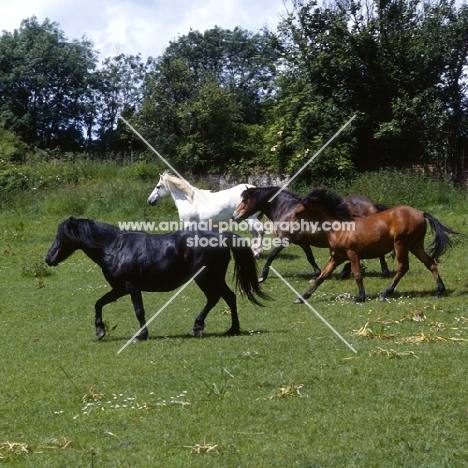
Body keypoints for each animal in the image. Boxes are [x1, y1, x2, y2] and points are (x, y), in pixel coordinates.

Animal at [46, 216, 270, 340]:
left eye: (61, 236)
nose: (49, 258)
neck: (113, 247)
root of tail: (223, 237)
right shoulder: (119, 289)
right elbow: (99, 303)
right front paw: (100, 331)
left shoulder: (132, 286)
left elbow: (139, 311)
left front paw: (141, 336)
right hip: (211, 279)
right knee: (228, 297)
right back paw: (232, 329)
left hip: (206, 278)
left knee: (216, 298)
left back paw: (199, 327)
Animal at [232, 186, 390, 282]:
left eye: (244, 200)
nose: (234, 216)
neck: (286, 209)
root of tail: (374, 205)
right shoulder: (303, 242)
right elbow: (310, 257)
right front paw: (316, 274)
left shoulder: (284, 240)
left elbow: (271, 256)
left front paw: (262, 277)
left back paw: (383, 273)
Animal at [290, 187, 458, 304]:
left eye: (298, 213)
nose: (289, 228)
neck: (338, 228)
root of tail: (420, 213)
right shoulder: (336, 257)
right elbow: (321, 277)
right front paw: (302, 298)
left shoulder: (352, 254)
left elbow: (357, 275)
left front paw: (360, 297)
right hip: (415, 245)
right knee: (430, 263)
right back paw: (440, 290)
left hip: (401, 244)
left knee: (403, 267)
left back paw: (385, 293)